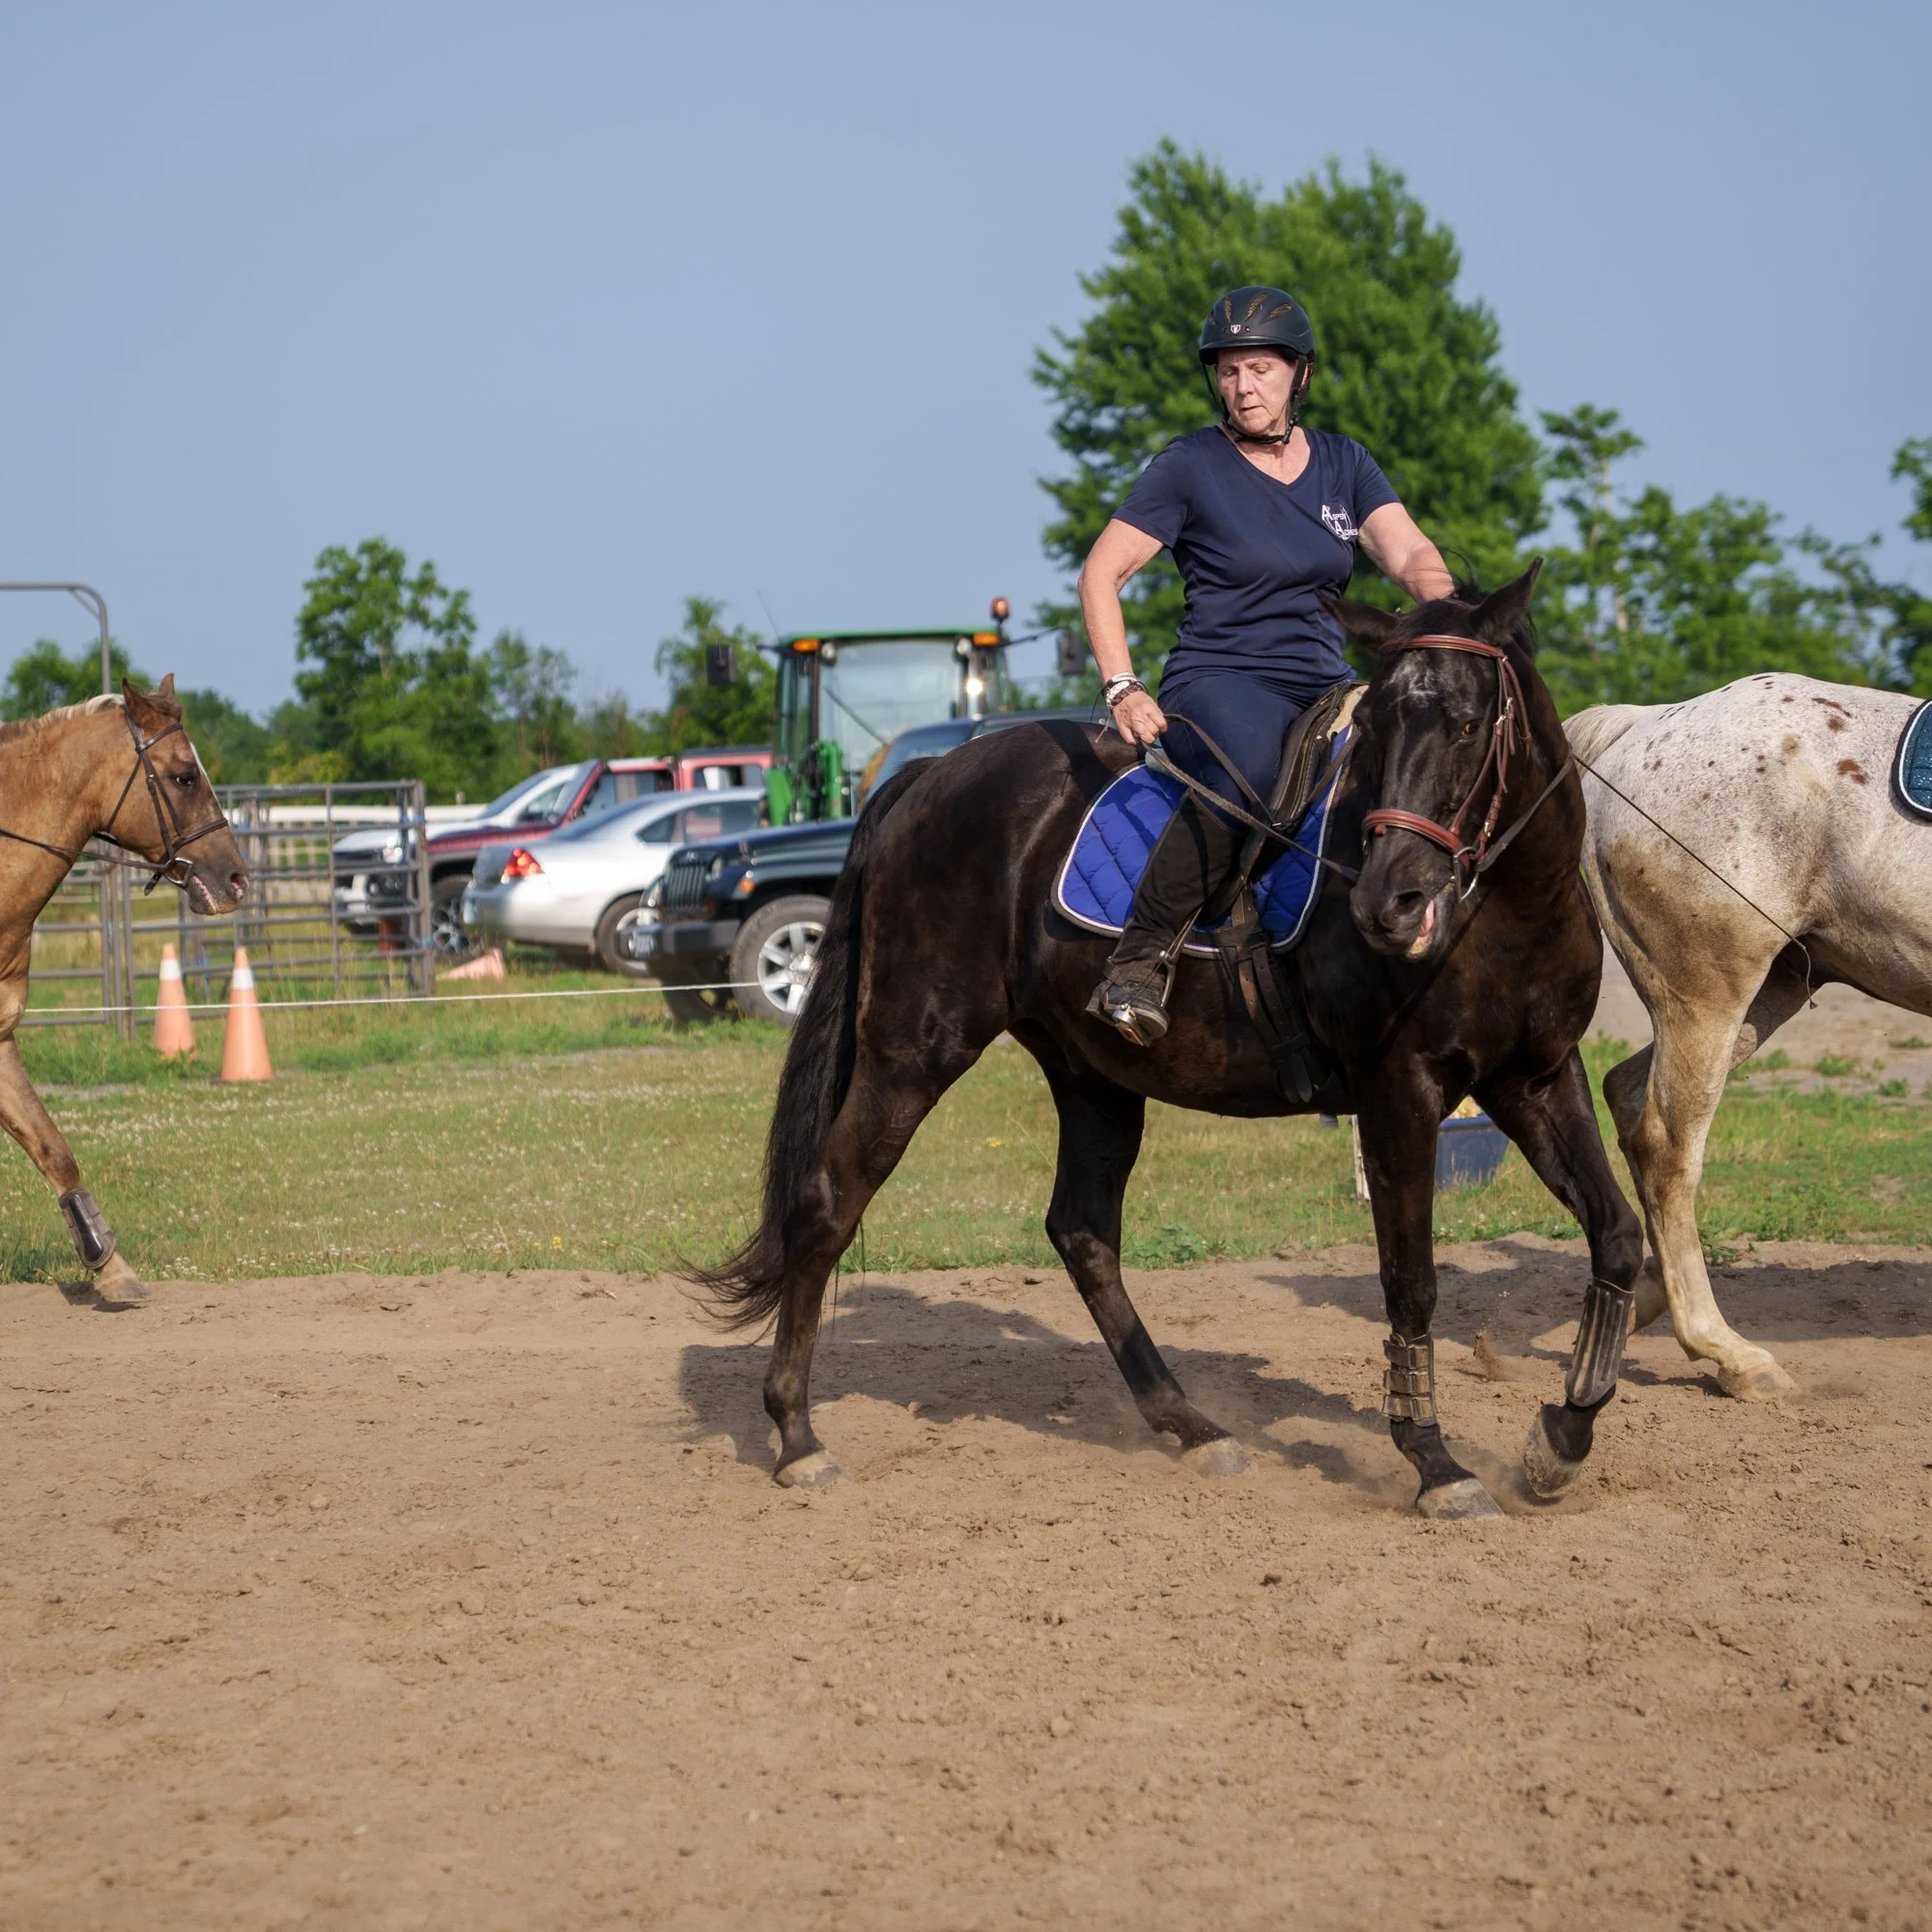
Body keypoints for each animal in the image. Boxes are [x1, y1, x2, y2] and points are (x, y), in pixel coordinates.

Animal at [698, 567, 1645, 1517]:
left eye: (1467, 724)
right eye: (1374, 730)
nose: (1390, 902)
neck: (1506, 914)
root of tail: (927, 775)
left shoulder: (1536, 1078)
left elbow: (1617, 1235)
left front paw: (1561, 1437)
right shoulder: (1399, 1094)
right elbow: (1411, 1282)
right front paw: (1436, 1465)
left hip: (1091, 1072)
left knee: (1082, 1231)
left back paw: (1189, 1425)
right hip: (913, 1049)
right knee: (828, 1200)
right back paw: (797, 1436)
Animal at [1565, 672, 1932, 1399]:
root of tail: (1646, 723)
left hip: (1767, 992)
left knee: (1627, 1093)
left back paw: (1641, 1303)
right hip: (1709, 994)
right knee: (1666, 1148)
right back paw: (1728, 1352)